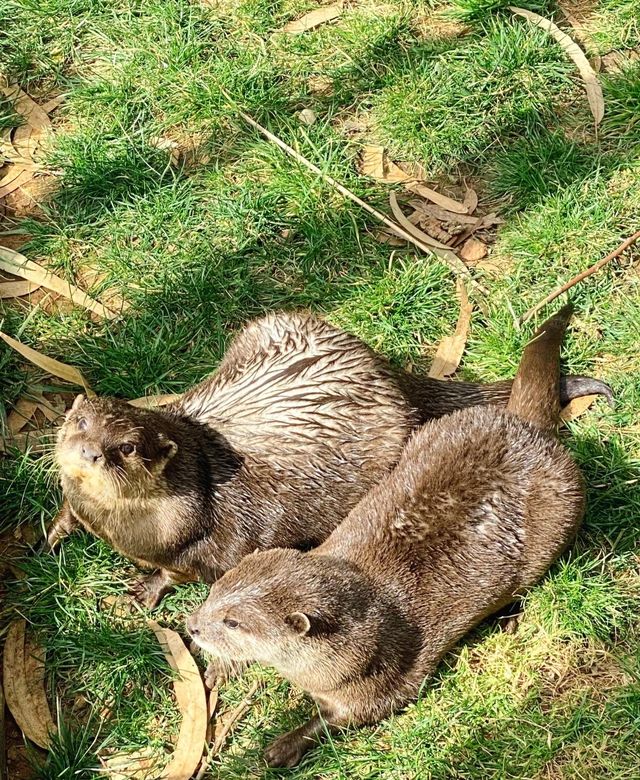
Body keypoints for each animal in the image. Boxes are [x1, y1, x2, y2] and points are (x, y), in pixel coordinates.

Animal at [51, 310, 608, 608]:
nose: (91, 451)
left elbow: (189, 572)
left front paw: (148, 588)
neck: (124, 528)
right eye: (81, 423)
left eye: (126, 448)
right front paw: (57, 529)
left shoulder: (219, 544)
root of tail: (388, 374)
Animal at [184, 306, 584, 768]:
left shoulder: (380, 676)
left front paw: (281, 747)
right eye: (216, 592)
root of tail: (523, 424)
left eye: (233, 622)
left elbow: (346, 718)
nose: (192, 625)